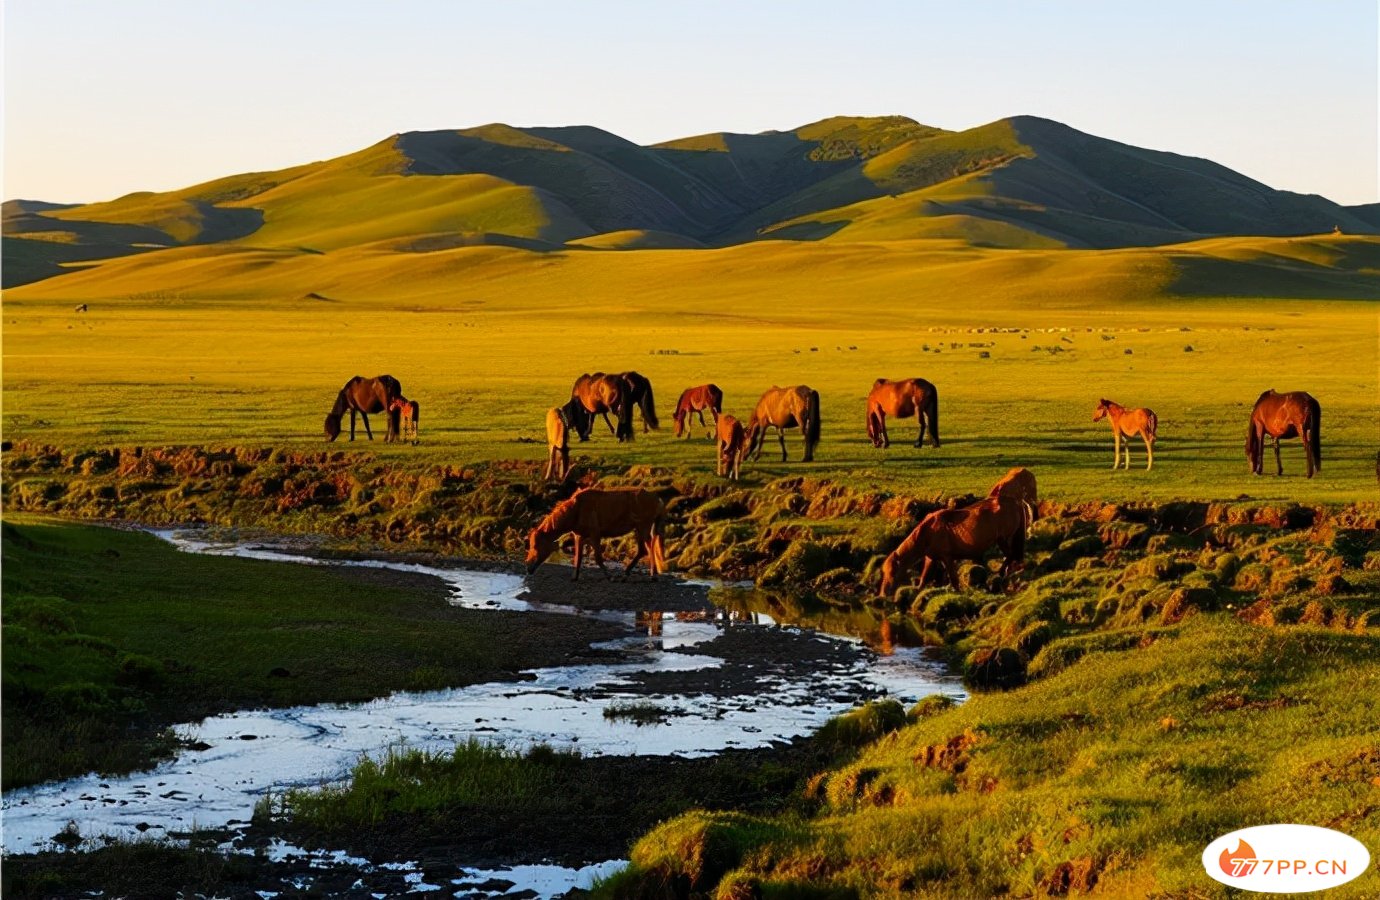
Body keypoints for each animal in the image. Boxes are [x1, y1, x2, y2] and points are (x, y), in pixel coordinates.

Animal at [521, 488, 667, 579]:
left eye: (535, 546)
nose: (528, 567)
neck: (575, 511)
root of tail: (659, 500)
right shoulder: (579, 535)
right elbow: (578, 558)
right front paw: (575, 577)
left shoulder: (595, 532)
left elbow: (597, 557)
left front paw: (609, 576)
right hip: (640, 527)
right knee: (647, 548)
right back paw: (641, 574)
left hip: (643, 526)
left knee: (646, 548)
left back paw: (639, 575)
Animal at [877, 491, 1032, 596]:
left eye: (893, 572)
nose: (883, 593)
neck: (927, 532)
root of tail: (1015, 501)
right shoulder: (931, 558)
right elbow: (924, 578)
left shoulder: (947, 557)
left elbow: (953, 579)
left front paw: (959, 593)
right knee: (1012, 556)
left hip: (1003, 539)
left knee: (1011, 555)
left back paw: (1000, 573)